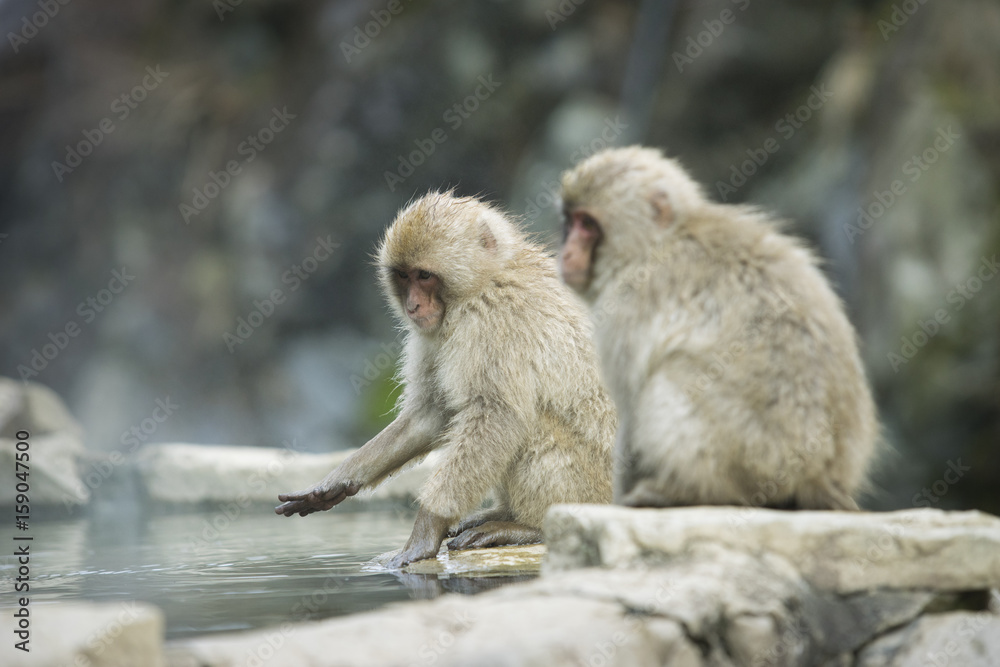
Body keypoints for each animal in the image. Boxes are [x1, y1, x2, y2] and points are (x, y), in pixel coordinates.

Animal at [276, 192, 616, 568]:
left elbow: (497, 416)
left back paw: (529, 526)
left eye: (424, 275)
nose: (412, 305)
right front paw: (338, 480)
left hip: (594, 490)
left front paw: (426, 529)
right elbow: (431, 415)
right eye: (404, 276)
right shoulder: (433, 333)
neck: (486, 279)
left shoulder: (493, 319)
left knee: (529, 423)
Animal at [557, 146, 878, 511]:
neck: (660, 241)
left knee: (672, 377)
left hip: (758, 459)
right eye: (570, 221)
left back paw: (689, 491)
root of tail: (821, 475)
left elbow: (630, 408)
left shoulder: (627, 304)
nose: (566, 253)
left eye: (587, 224)